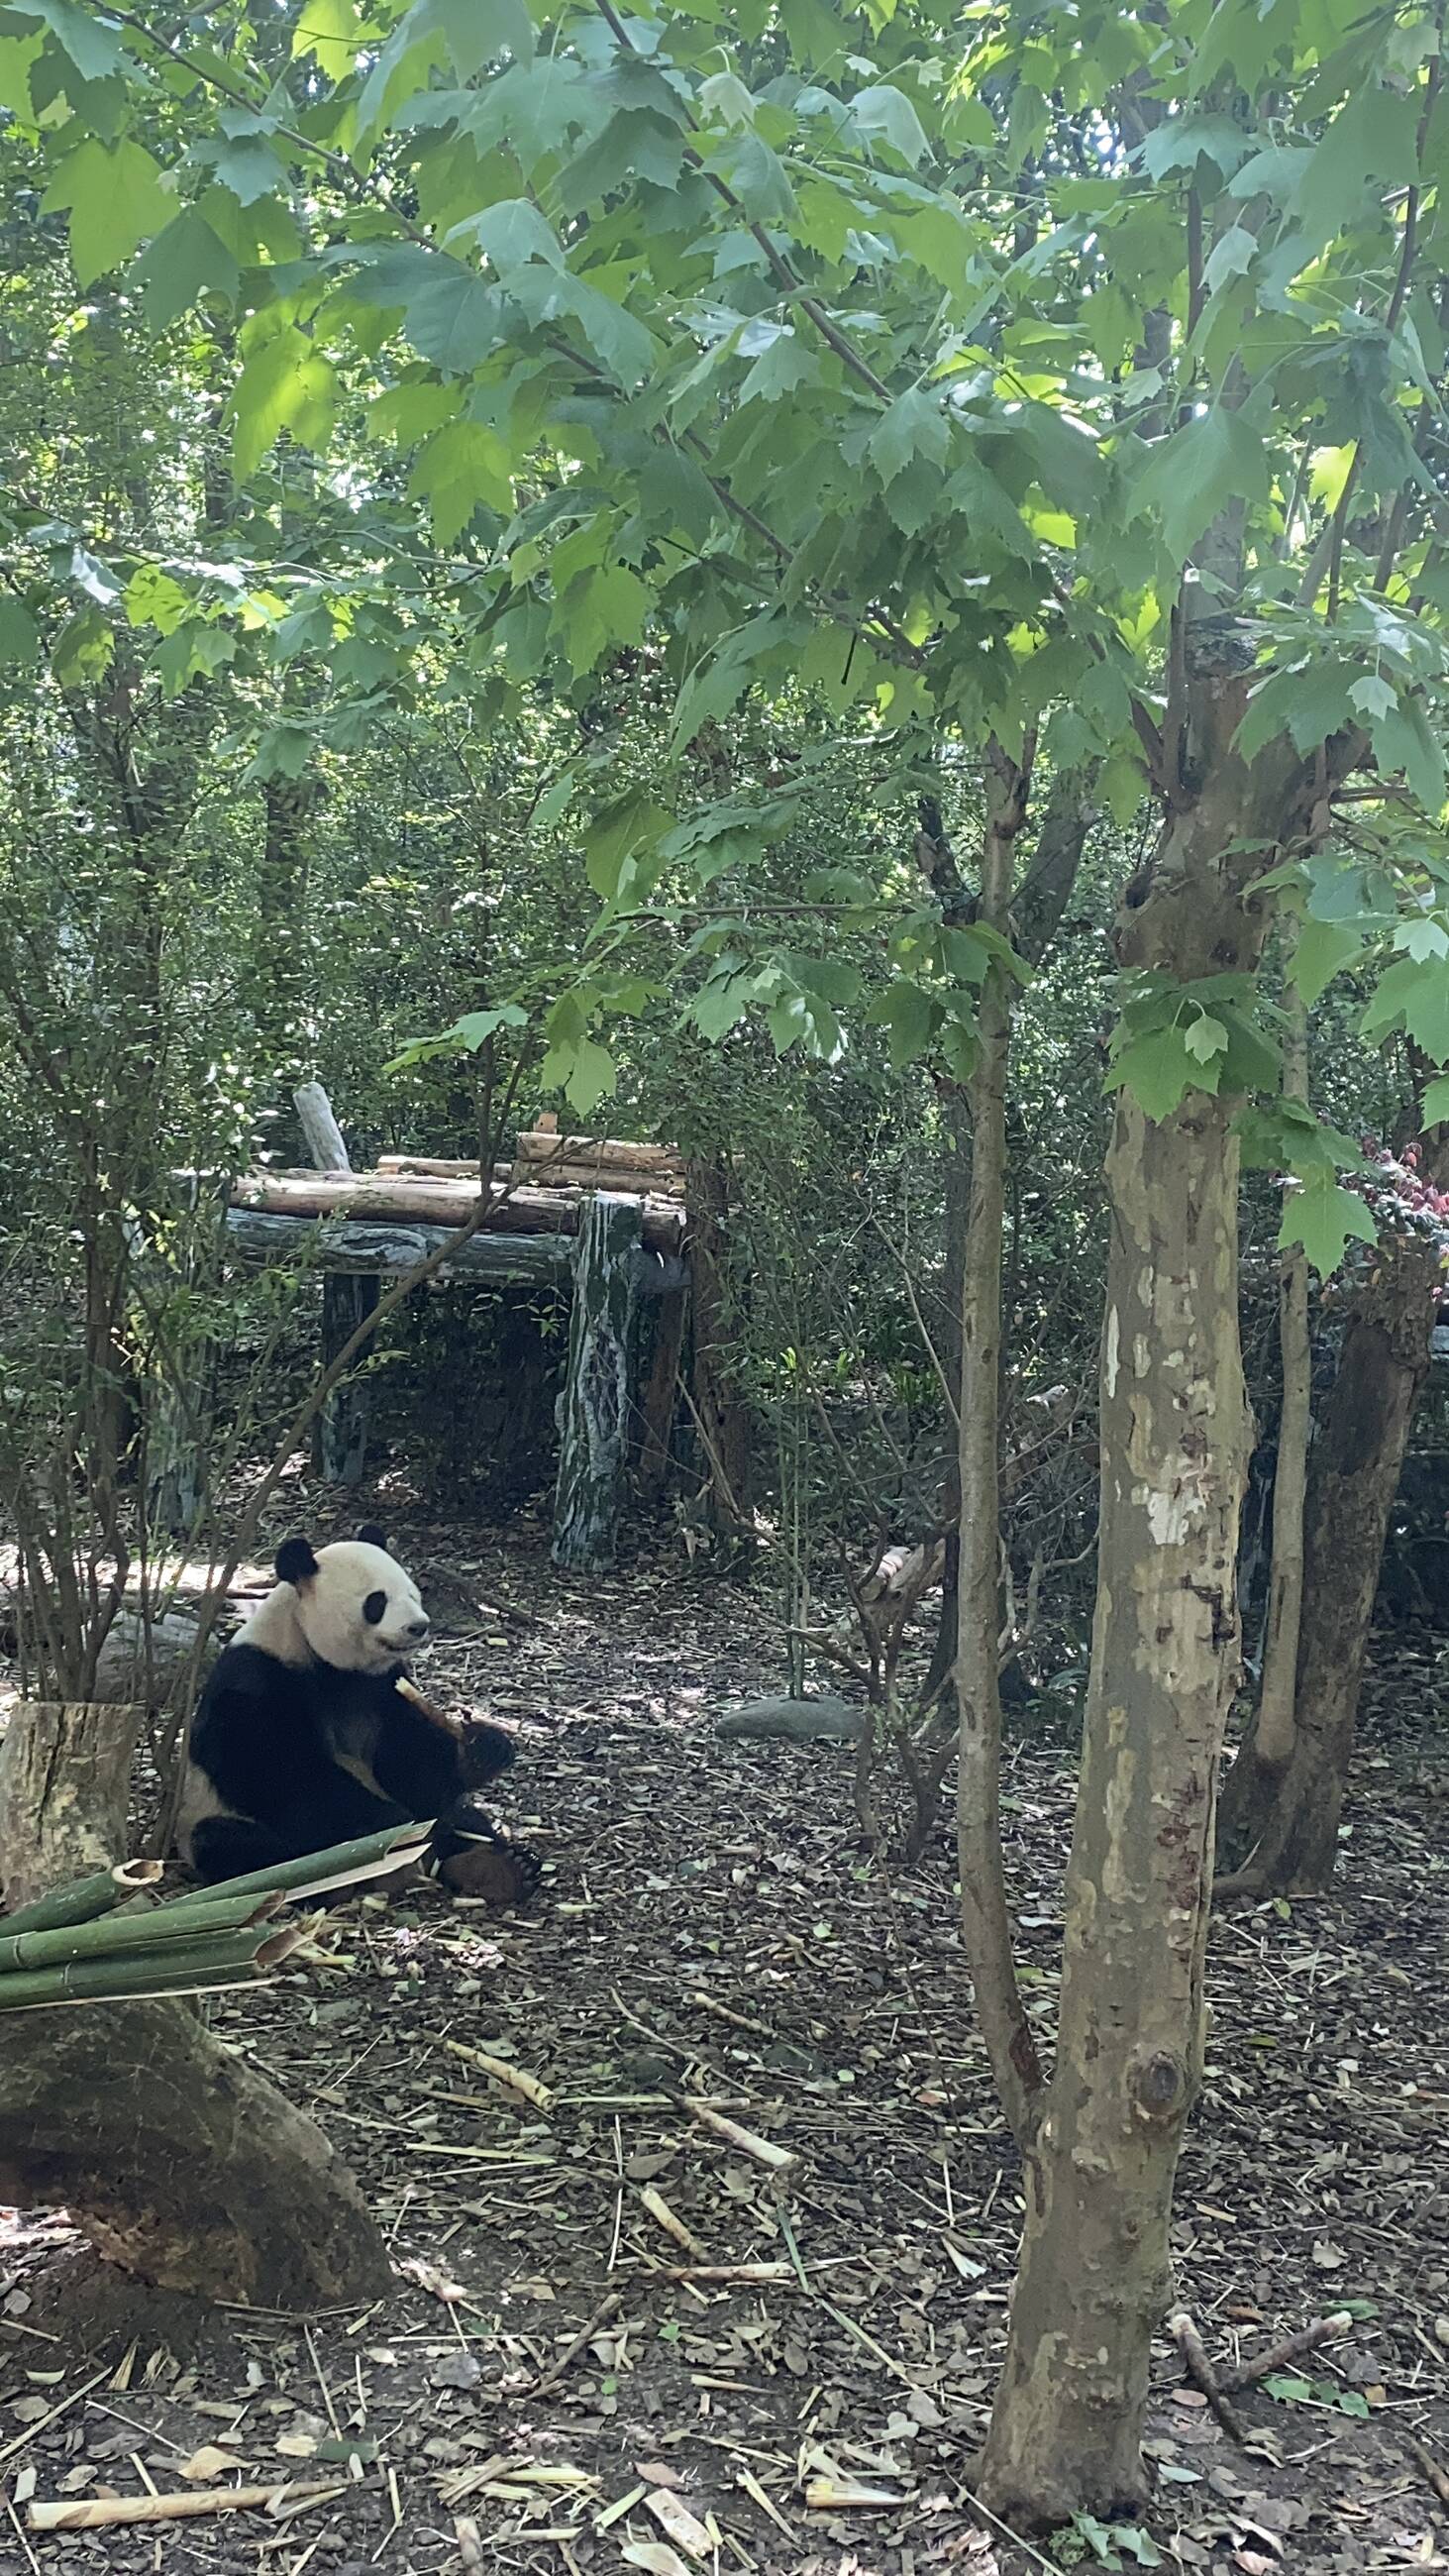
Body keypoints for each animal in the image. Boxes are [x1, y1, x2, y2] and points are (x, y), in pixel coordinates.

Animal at [178, 1527, 534, 1904]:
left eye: (413, 1593)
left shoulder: (382, 1687)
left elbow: (409, 1766)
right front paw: (390, 1824)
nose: (419, 1627)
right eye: (376, 1602)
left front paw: (483, 1750)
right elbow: (277, 1772)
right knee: (237, 1847)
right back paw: (334, 1881)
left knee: (464, 1820)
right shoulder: (257, 1678)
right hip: (210, 1815)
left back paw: (500, 1868)